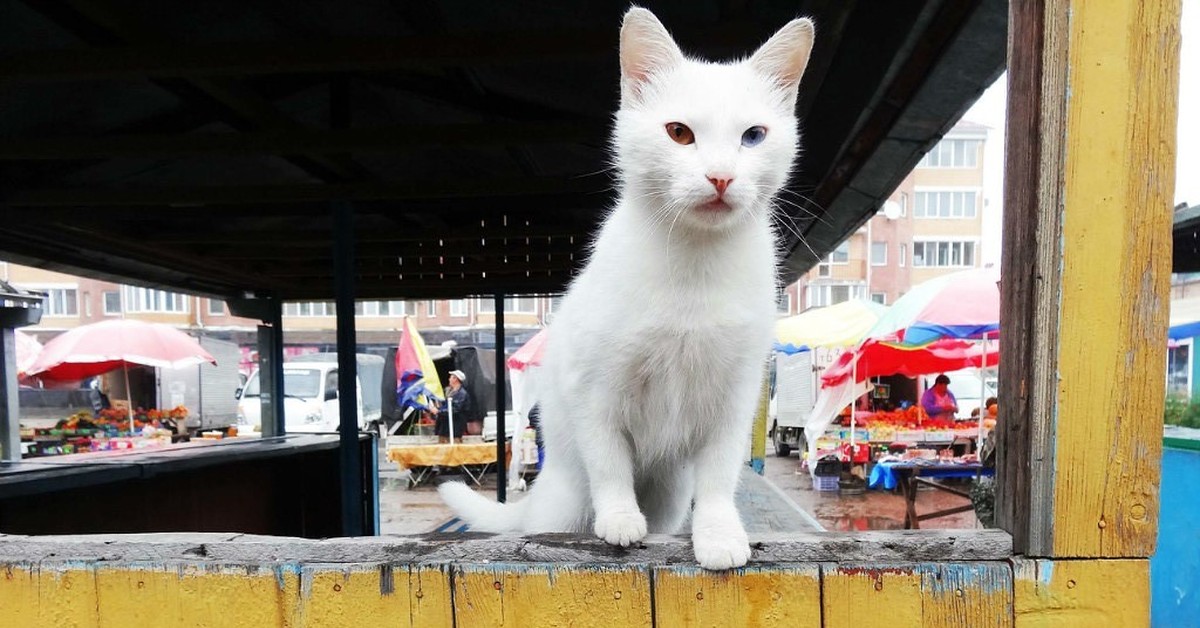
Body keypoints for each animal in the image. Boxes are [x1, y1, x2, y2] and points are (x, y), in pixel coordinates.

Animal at [441, 8, 816, 569]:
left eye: (753, 136)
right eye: (679, 133)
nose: (721, 177)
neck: (692, 266)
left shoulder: (735, 394)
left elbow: (719, 474)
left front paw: (719, 532)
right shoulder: (593, 388)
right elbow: (609, 460)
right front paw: (619, 518)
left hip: (670, 494)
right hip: (564, 503)